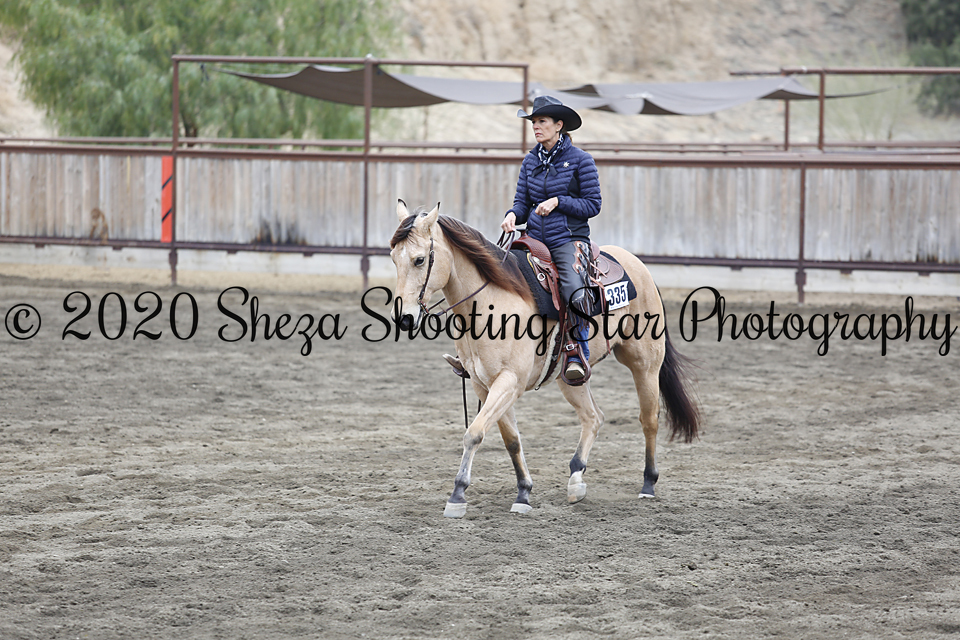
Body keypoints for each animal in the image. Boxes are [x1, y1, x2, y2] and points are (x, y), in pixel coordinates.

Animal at [389, 200, 700, 518]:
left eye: (419, 260)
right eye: (393, 259)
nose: (404, 318)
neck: (491, 301)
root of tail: (639, 266)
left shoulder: (509, 382)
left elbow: (474, 433)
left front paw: (458, 494)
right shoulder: (484, 385)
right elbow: (511, 440)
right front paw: (523, 492)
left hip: (645, 364)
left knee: (649, 419)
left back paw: (648, 484)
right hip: (571, 376)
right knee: (594, 417)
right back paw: (576, 479)